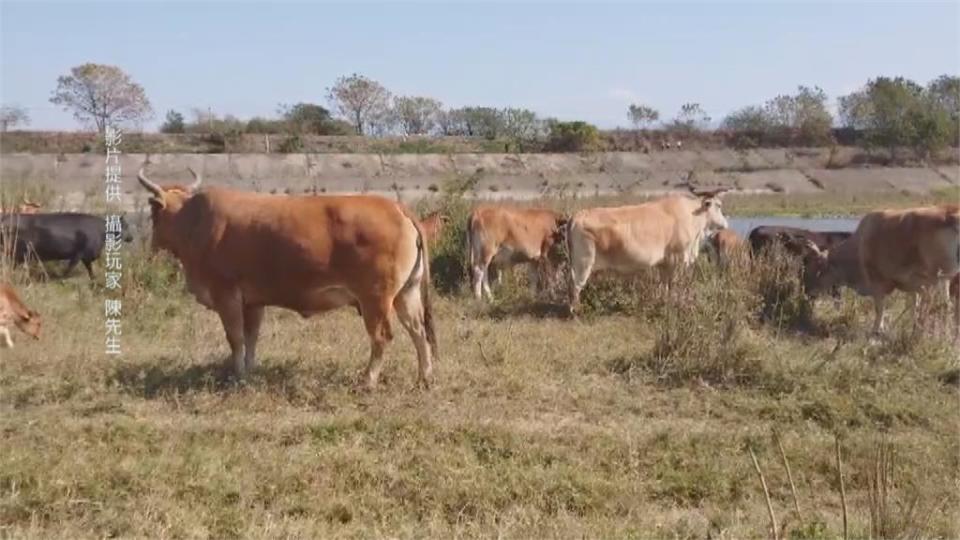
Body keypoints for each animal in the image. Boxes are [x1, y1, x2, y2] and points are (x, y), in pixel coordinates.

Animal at [138, 168, 438, 388]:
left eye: (153, 212)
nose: (151, 244)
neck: (194, 223)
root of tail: (396, 207)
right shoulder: (253, 302)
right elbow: (251, 337)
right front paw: (250, 370)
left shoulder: (226, 294)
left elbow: (235, 337)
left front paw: (238, 376)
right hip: (406, 294)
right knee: (418, 331)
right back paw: (424, 377)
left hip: (375, 299)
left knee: (382, 337)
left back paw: (368, 380)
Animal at [568, 187, 732, 310]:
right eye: (719, 205)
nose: (725, 224)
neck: (691, 216)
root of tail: (578, 215)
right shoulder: (678, 259)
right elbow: (674, 284)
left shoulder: (664, 264)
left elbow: (664, 285)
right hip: (584, 262)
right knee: (576, 286)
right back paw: (577, 311)